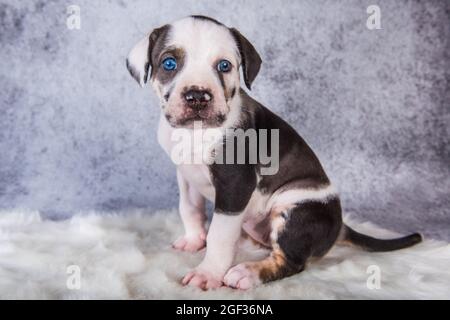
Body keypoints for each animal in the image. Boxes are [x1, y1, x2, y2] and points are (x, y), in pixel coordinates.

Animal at [125, 15, 422, 290]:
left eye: (224, 66)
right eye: (169, 63)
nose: (198, 96)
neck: (196, 132)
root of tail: (339, 227)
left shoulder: (235, 184)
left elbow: (219, 234)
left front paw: (208, 273)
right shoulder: (186, 175)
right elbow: (189, 208)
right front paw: (193, 239)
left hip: (295, 209)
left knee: (290, 261)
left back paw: (248, 272)